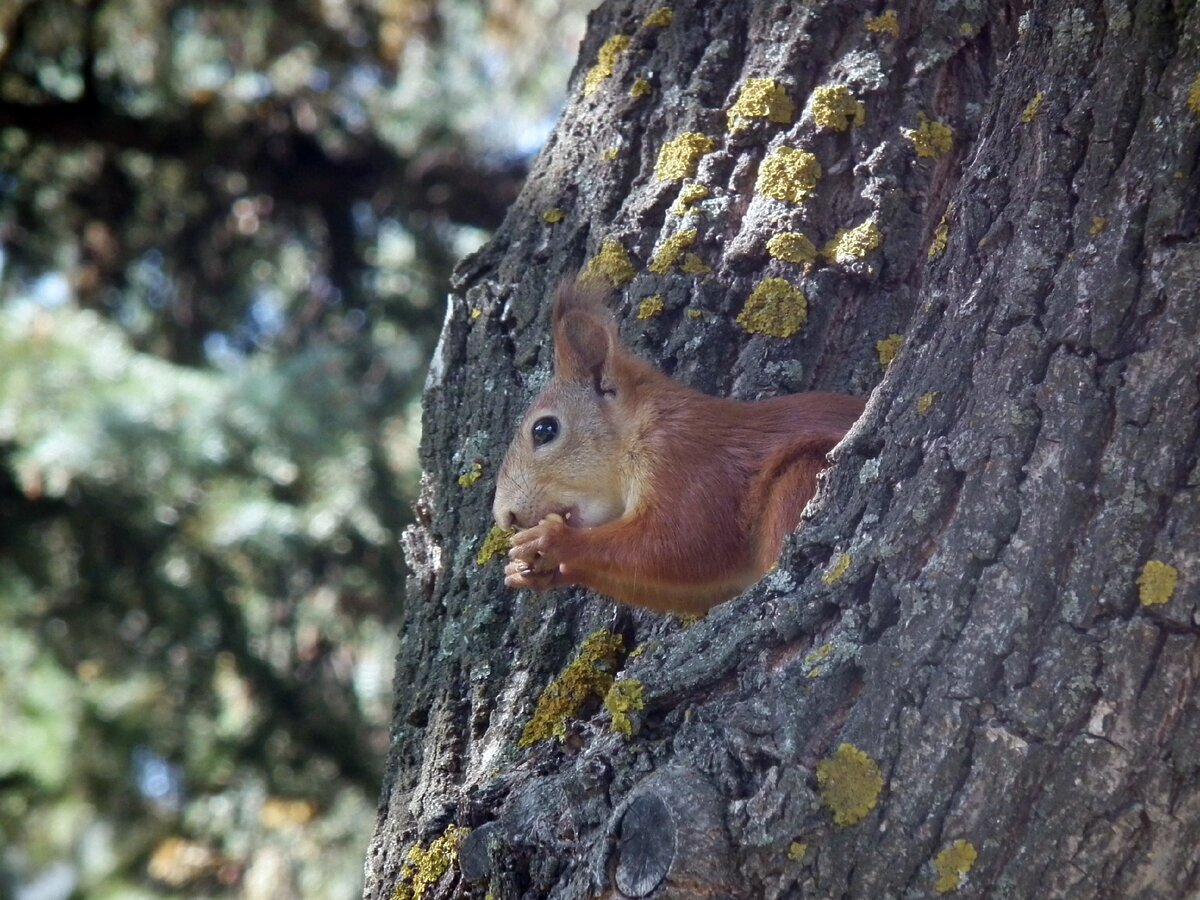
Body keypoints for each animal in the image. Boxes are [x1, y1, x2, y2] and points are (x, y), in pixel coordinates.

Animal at [487, 283, 864, 614]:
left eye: (544, 430)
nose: (505, 517)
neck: (644, 428)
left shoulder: (687, 460)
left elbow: (681, 543)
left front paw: (555, 540)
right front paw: (535, 571)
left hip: (800, 476)